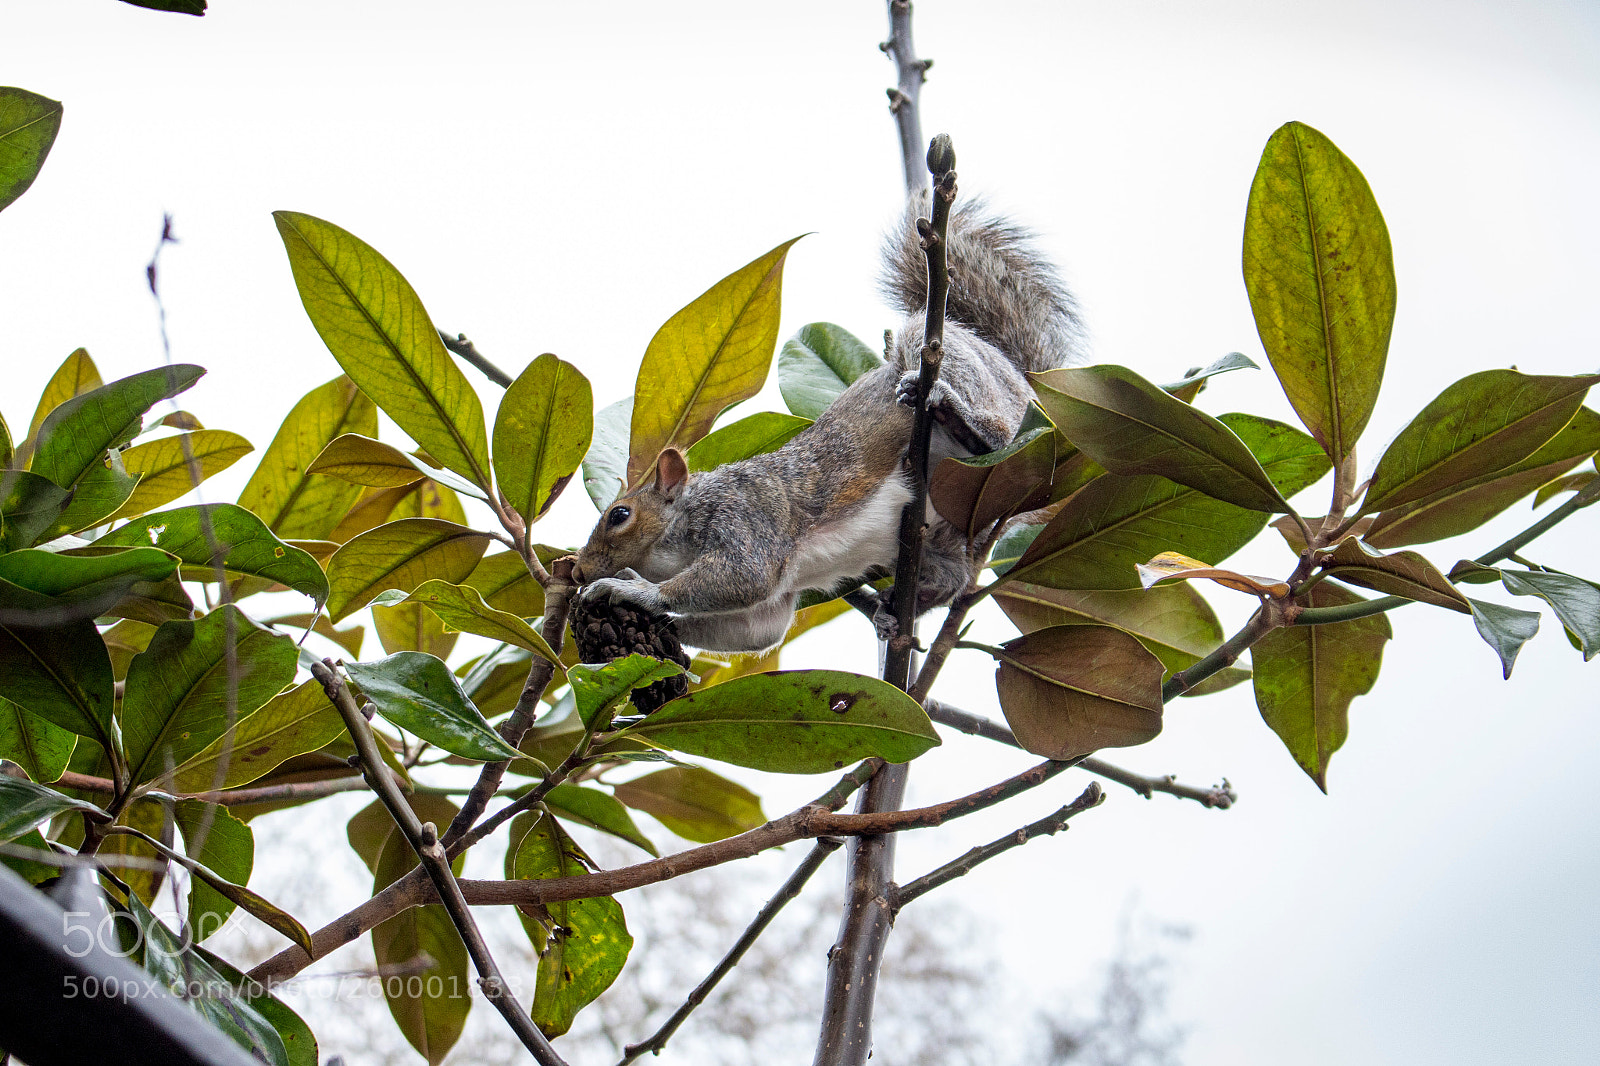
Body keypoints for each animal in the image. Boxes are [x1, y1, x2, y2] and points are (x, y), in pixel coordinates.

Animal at [573, 195, 1082, 654]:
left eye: (619, 515)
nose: (577, 571)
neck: (691, 512)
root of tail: (1032, 389)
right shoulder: (775, 600)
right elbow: (759, 629)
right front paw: (660, 629)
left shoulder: (747, 517)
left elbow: (746, 575)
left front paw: (632, 590)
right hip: (947, 528)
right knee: (952, 577)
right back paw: (896, 610)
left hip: (970, 381)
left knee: (992, 426)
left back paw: (958, 418)